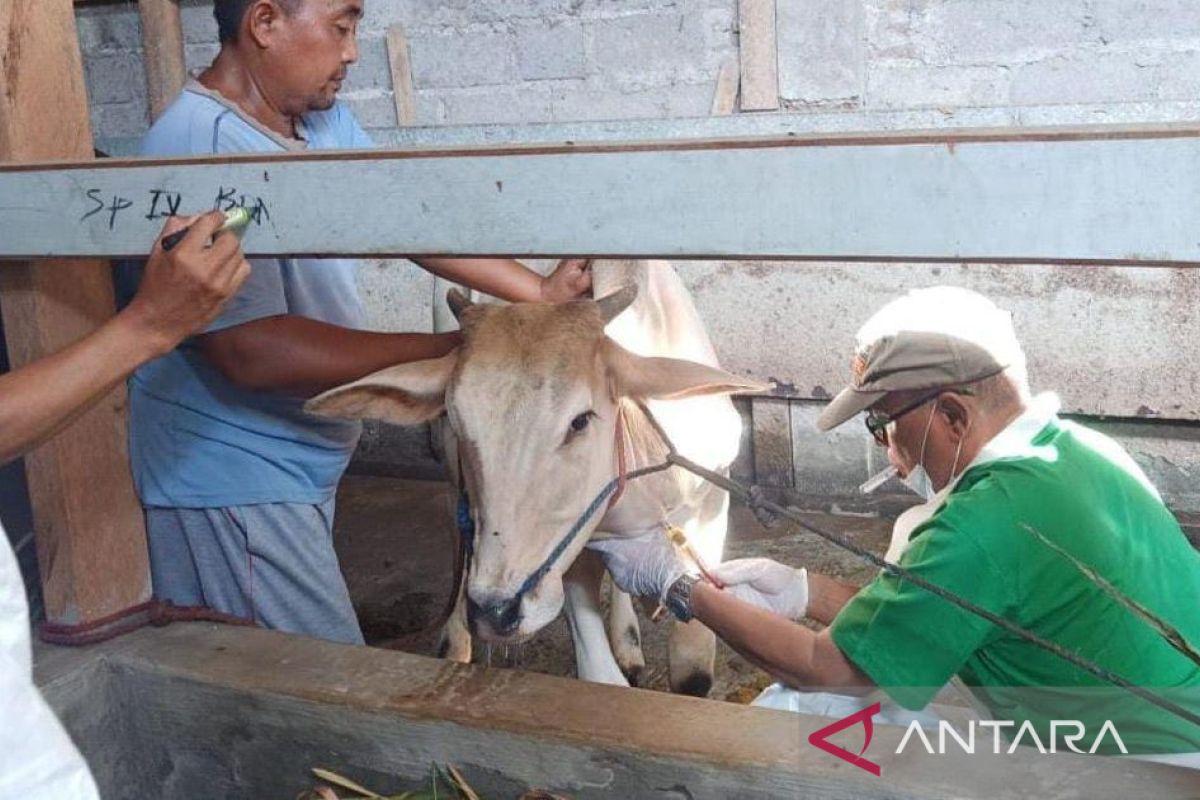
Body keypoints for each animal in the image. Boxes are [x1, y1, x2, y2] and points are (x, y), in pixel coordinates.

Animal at [304, 262, 763, 695]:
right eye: (458, 416)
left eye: (580, 420)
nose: (495, 612)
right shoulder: (572, 553)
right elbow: (600, 676)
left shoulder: (708, 507)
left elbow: (692, 672)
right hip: (453, 469)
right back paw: (456, 640)